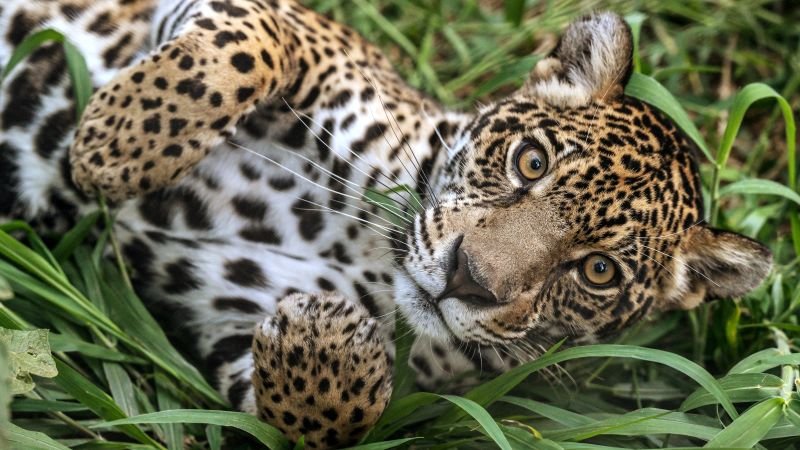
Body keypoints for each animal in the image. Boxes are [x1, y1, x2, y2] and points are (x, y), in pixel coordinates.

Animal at [0, 0, 773, 448]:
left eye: (598, 271)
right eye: (530, 161)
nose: (469, 279)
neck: (371, 244)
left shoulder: (222, 315)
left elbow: (332, 420)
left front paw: (325, 340)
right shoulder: (291, 29)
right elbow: (247, 45)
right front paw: (115, 145)